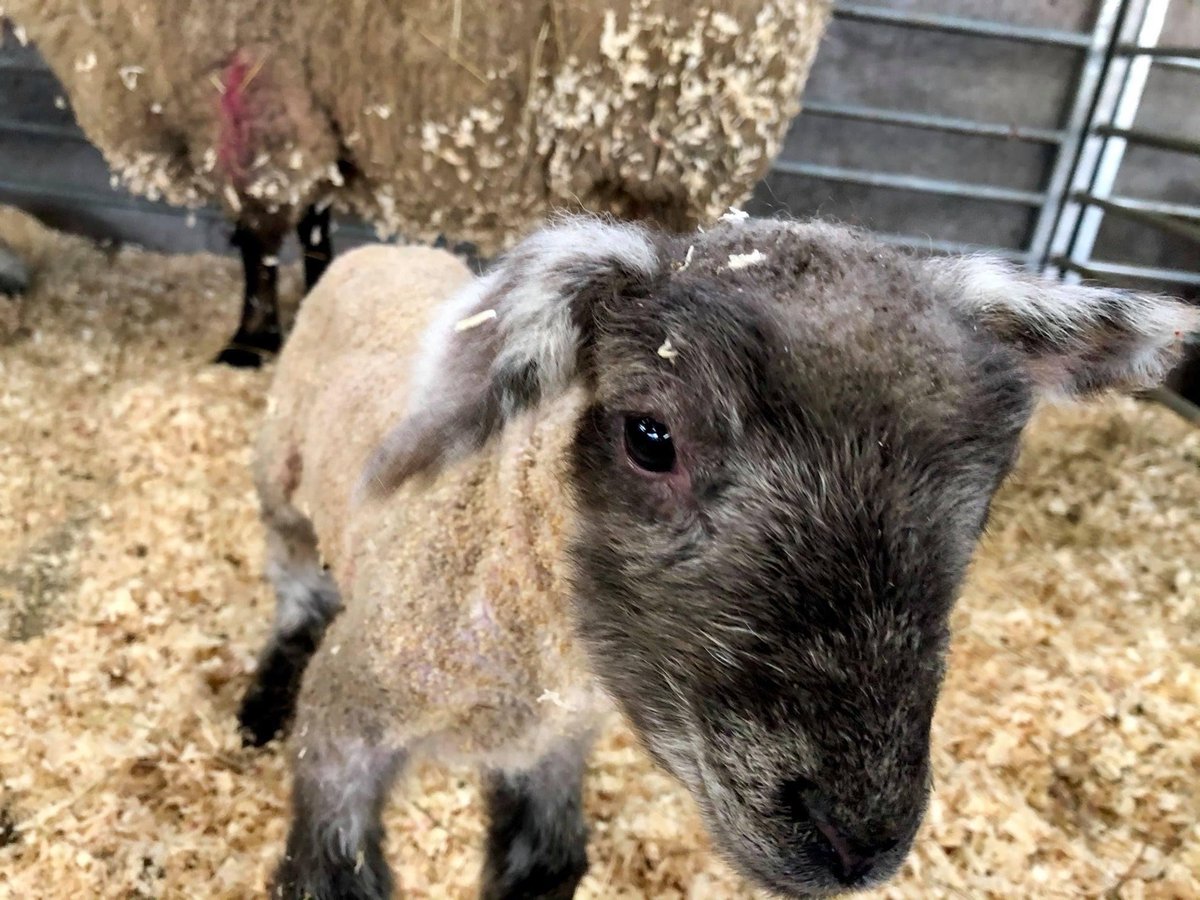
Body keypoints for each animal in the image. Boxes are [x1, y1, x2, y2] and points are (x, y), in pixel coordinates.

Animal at [3, 0, 830, 367]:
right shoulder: (314, 115)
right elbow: (312, 227)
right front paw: (317, 300)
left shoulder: (256, 103)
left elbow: (258, 241)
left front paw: (249, 342)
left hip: (667, 135)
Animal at [237, 210, 1200, 899]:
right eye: (650, 437)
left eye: (990, 479)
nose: (857, 838)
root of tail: (382, 246)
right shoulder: (344, 733)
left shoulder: (555, 755)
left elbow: (547, 867)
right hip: (279, 472)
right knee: (294, 579)